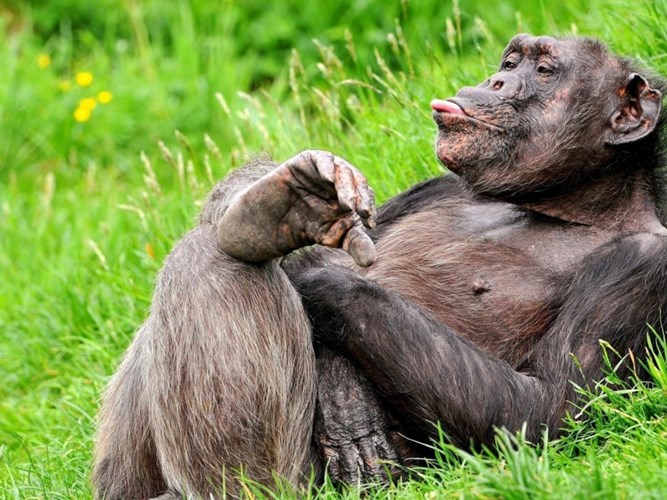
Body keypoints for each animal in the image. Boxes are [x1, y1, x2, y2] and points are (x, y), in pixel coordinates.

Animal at [93, 34, 667, 498]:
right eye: (510, 61)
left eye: (544, 71)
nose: (497, 80)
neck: (558, 206)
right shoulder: (435, 187)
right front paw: (296, 203)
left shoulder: (642, 269)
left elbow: (546, 411)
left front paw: (323, 288)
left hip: (301, 482)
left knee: (213, 262)